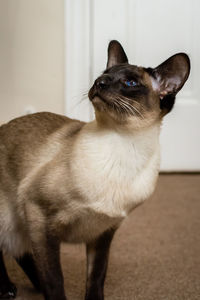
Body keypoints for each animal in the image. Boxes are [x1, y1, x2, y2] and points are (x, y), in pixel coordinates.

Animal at [0, 40, 191, 300]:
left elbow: (96, 276)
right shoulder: (40, 218)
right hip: (8, 219)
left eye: (130, 83)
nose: (99, 83)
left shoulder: (104, 232)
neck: (123, 146)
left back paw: (30, 286)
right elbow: (54, 280)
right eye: (104, 75)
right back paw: (7, 289)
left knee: (19, 251)